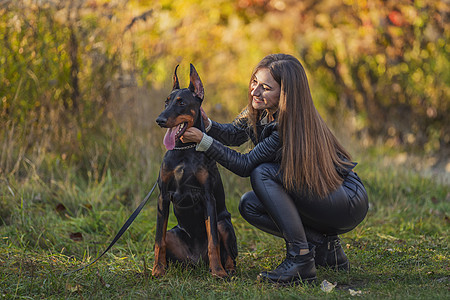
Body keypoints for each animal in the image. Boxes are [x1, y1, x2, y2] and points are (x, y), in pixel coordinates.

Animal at [154, 64, 239, 278]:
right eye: (166, 102)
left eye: (181, 102)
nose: (159, 120)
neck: (184, 150)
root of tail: (197, 260)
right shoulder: (163, 197)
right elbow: (158, 240)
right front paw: (157, 269)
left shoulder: (208, 197)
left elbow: (213, 241)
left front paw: (218, 272)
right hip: (174, 234)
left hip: (224, 224)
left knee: (229, 254)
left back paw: (227, 269)